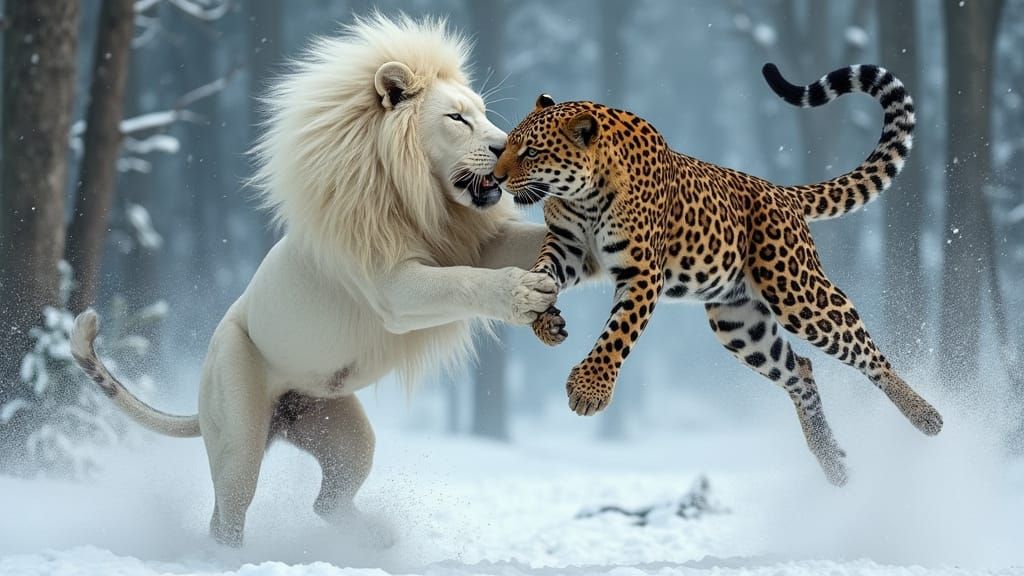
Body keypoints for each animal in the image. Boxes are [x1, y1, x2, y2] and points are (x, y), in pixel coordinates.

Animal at [70, 15, 554, 547]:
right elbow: (463, 283)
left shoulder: (477, 241)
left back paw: (377, 539)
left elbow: (529, 241)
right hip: (239, 426)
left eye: (485, 114)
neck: (423, 201)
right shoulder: (393, 288)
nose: (506, 147)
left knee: (328, 502)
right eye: (456, 118)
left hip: (342, 433)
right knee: (227, 516)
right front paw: (524, 293)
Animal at [493, 63, 943, 485]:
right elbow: (542, 274)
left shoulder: (642, 272)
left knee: (867, 353)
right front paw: (544, 321)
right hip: (740, 324)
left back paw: (926, 415)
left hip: (798, 293)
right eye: (507, 144)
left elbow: (618, 333)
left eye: (531, 152)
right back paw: (832, 462)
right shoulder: (568, 247)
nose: (496, 177)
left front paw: (590, 389)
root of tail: (782, 191)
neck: (582, 195)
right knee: (801, 370)